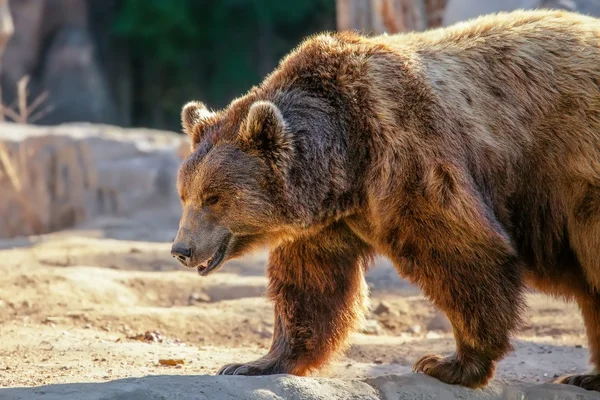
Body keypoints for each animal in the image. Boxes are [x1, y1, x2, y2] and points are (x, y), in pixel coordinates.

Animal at [171, 8, 600, 390]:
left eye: (214, 197)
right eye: (185, 194)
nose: (182, 249)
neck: (347, 159)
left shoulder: (410, 153)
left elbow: (462, 250)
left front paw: (448, 362)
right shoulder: (327, 219)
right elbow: (310, 283)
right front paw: (254, 363)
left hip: (579, 174)